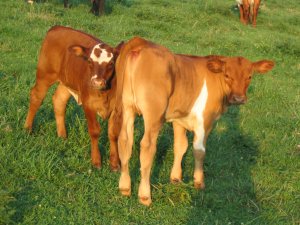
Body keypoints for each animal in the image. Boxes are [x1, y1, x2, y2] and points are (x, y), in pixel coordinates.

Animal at [113, 36, 274, 205]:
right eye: (227, 75)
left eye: (250, 76)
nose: (239, 98)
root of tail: (141, 42)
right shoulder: (205, 120)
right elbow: (199, 150)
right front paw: (198, 182)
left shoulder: (179, 119)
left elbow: (180, 146)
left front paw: (175, 178)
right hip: (154, 115)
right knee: (147, 146)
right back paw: (145, 195)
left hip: (127, 107)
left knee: (125, 141)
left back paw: (124, 187)